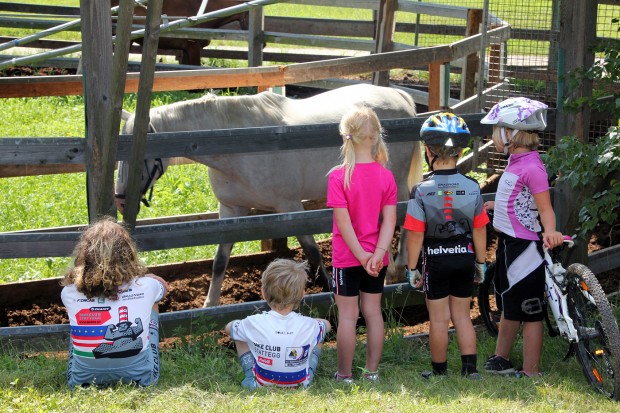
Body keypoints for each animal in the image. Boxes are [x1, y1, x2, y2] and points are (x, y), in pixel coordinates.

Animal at [115, 83, 424, 304]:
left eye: (137, 153)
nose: (119, 200)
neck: (239, 144)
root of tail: (400, 98)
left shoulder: (289, 207)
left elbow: (312, 251)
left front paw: (329, 289)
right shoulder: (230, 211)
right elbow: (219, 261)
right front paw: (209, 304)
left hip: (394, 186)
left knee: (401, 220)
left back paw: (396, 271)